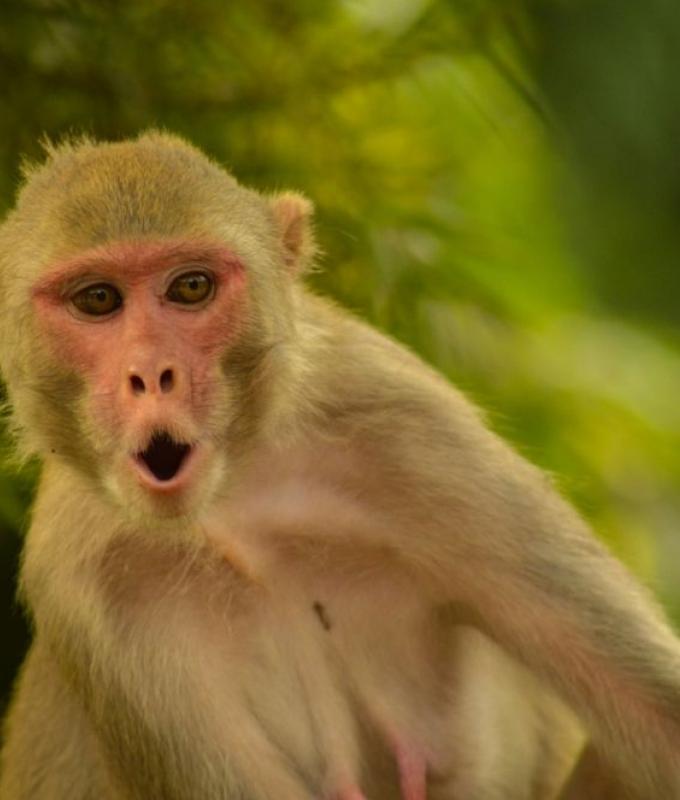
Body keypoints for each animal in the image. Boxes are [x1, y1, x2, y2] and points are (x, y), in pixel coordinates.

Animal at [0, 132, 679, 800]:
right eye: (98, 299)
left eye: (190, 288)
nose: (151, 374)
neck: (235, 498)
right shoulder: (89, 587)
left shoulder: (410, 428)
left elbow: (653, 711)